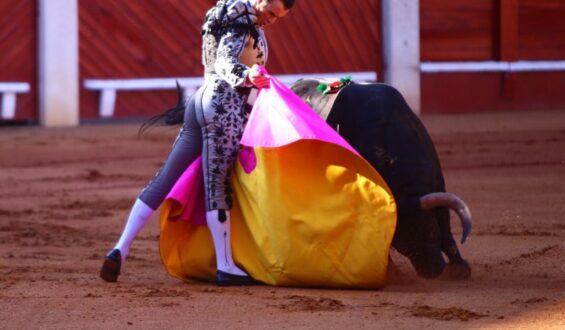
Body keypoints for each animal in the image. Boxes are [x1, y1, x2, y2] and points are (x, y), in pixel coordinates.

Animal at [290, 79, 472, 278]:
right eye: (401, 243)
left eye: (431, 230)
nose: (433, 271)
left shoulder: (438, 184)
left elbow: (446, 229)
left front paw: (460, 267)